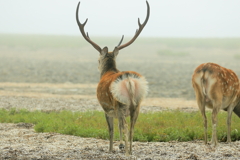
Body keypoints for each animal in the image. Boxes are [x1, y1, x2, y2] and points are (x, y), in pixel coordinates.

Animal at [75, 0, 150, 155]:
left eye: (98, 59)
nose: (97, 64)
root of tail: (129, 81)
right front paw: (119, 146)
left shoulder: (107, 109)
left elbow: (112, 130)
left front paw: (111, 149)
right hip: (137, 104)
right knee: (132, 127)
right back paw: (130, 151)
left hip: (119, 103)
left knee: (125, 126)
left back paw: (126, 151)